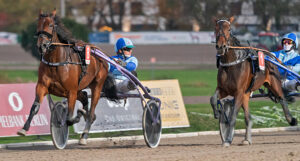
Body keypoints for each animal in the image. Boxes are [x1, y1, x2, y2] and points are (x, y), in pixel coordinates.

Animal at [16, 9, 117, 145]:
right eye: (38, 25)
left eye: (51, 25)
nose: (41, 46)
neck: (56, 61)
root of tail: (99, 53)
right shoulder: (42, 86)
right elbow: (35, 107)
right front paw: (23, 129)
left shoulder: (71, 91)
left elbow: (69, 118)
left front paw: (76, 116)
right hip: (76, 89)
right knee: (84, 96)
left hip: (97, 85)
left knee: (91, 112)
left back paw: (84, 135)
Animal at [211, 17, 298, 147]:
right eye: (216, 28)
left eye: (229, 29)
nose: (221, 46)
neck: (232, 63)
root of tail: (269, 56)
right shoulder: (223, 89)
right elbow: (213, 99)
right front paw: (217, 113)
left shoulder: (238, 92)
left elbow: (232, 117)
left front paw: (228, 140)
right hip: (246, 94)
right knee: (248, 117)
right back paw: (247, 139)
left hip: (274, 83)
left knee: (282, 98)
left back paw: (291, 120)